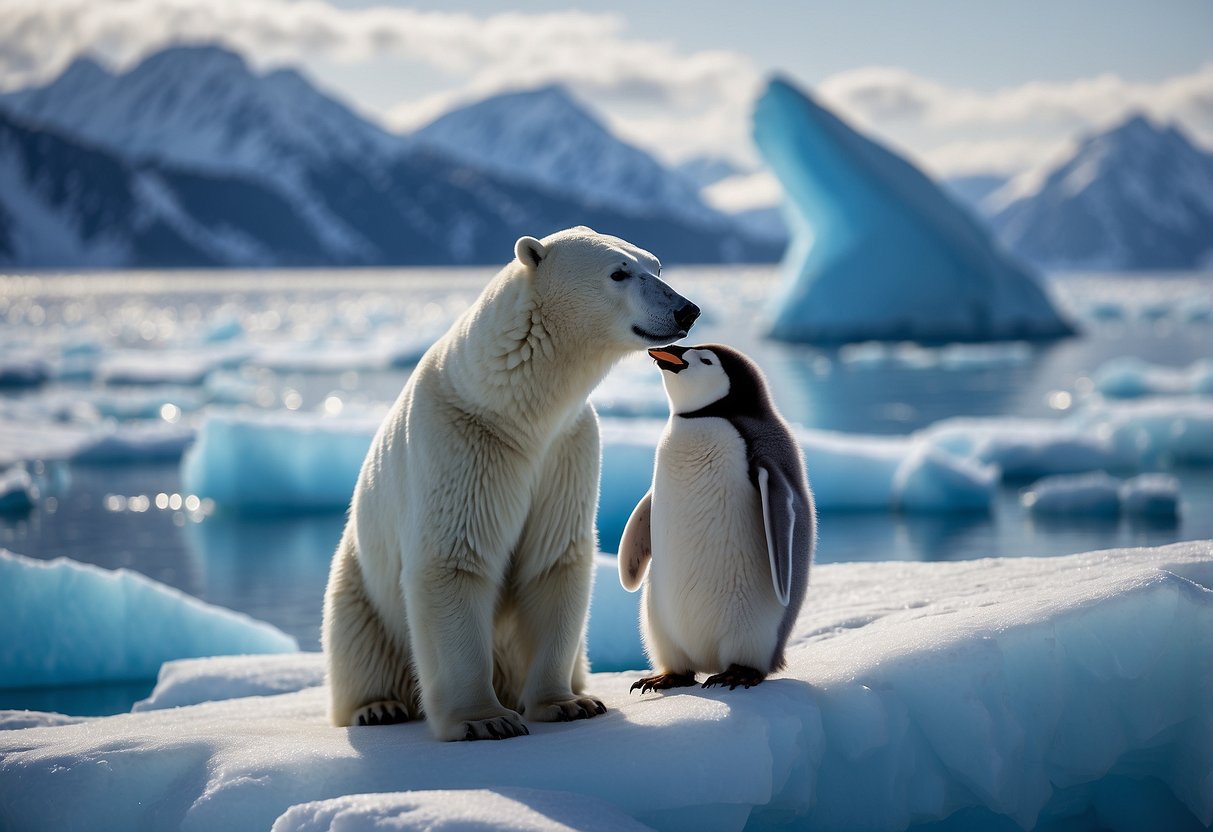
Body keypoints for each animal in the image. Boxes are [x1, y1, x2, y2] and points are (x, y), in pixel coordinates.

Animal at [325, 224, 703, 742]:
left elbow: (553, 561)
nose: (686, 309)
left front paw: (569, 703)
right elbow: (453, 561)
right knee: (356, 639)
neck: (516, 411)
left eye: (657, 265)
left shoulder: (567, 448)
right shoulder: (464, 444)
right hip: (359, 581)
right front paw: (484, 719)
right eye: (619, 272)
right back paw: (377, 706)